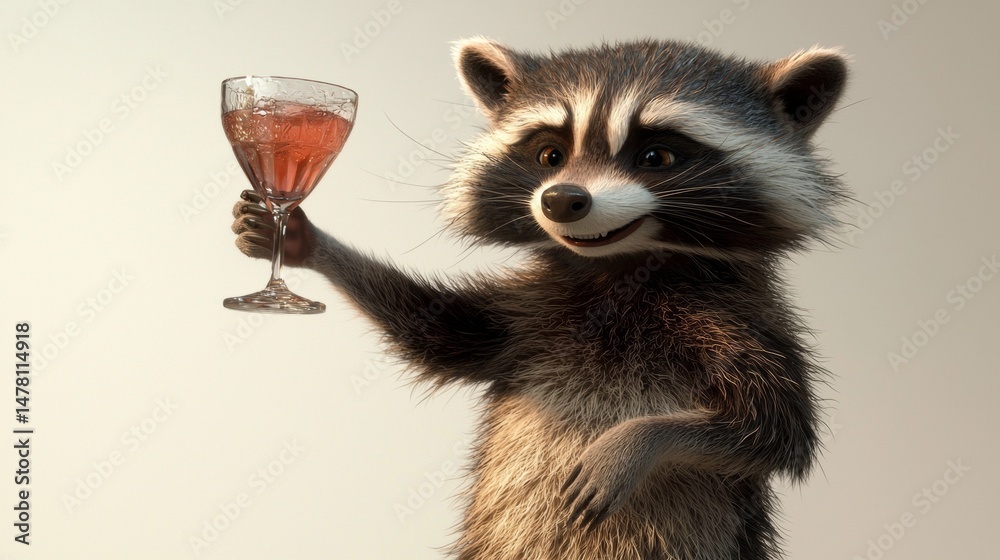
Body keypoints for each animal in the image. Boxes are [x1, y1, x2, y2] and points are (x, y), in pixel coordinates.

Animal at [232, 37, 848, 560]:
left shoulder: (736, 320)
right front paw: (308, 242)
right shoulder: (531, 312)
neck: (617, 270)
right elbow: (439, 331)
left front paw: (635, 440)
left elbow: (775, 429)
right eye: (550, 154)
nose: (562, 200)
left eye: (657, 157)